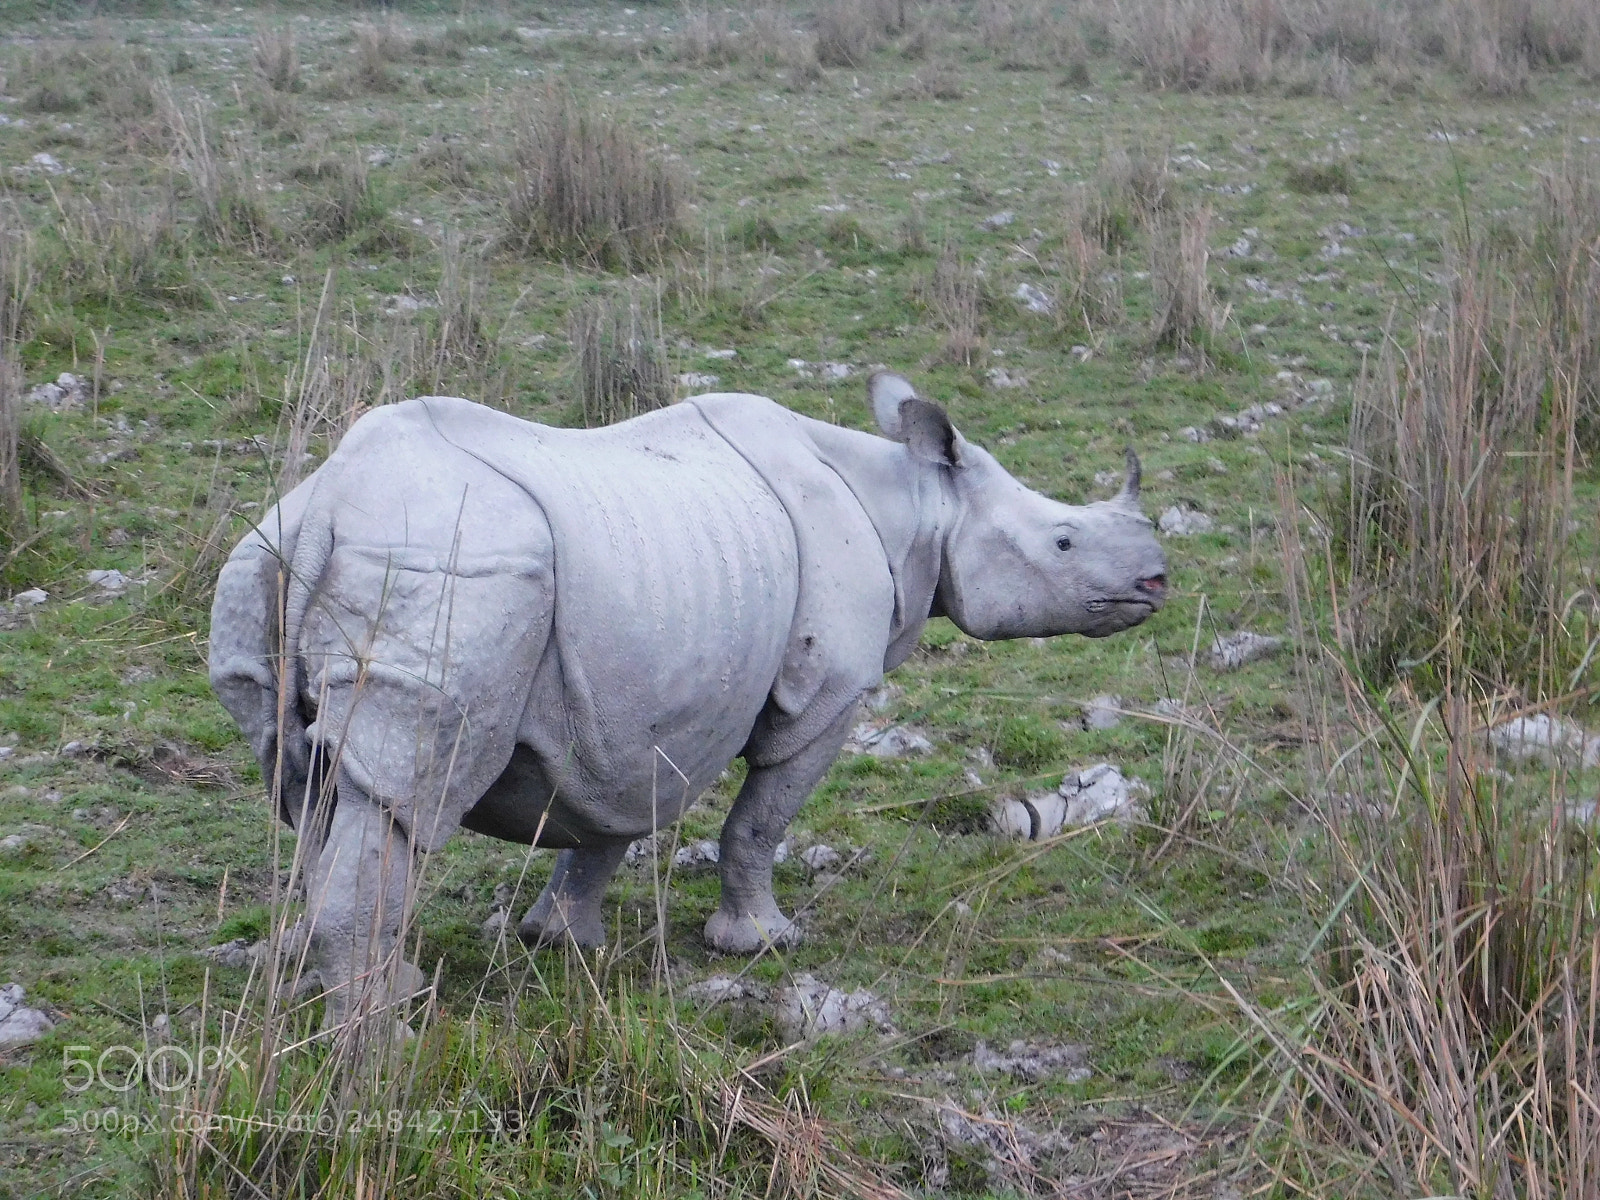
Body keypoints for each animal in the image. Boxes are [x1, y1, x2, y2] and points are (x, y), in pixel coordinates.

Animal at [209, 371, 1166, 1025]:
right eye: (1064, 541)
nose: (1157, 580)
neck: (917, 504)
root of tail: (328, 509)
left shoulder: (629, 700)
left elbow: (609, 813)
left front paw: (562, 939)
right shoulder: (829, 692)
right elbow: (759, 819)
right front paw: (764, 943)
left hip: (267, 563)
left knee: (311, 788)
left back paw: (380, 987)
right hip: (453, 571)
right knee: (403, 794)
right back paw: (384, 1044)